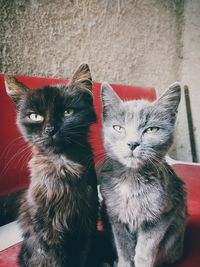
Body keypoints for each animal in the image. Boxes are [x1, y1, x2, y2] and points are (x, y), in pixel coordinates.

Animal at [100, 82, 188, 267]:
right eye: (118, 128)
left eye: (151, 129)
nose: (132, 143)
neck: (131, 180)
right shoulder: (115, 216)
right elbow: (123, 249)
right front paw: (122, 263)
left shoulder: (162, 215)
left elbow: (145, 250)